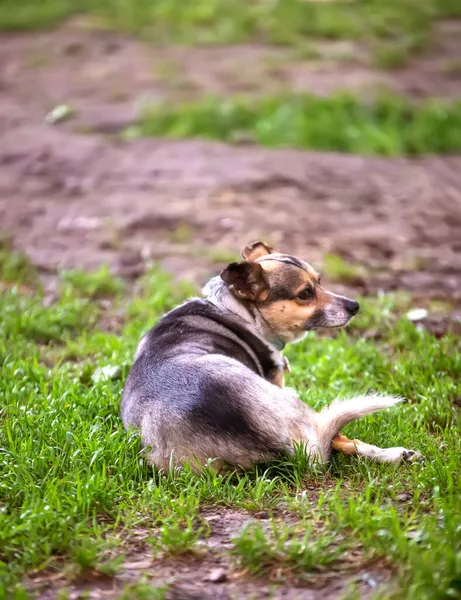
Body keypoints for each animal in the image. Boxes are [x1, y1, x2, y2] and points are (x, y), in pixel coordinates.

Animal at [120, 241, 422, 472]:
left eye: (320, 282)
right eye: (305, 293)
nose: (355, 305)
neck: (238, 311)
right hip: (300, 410)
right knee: (341, 438)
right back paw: (395, 454)